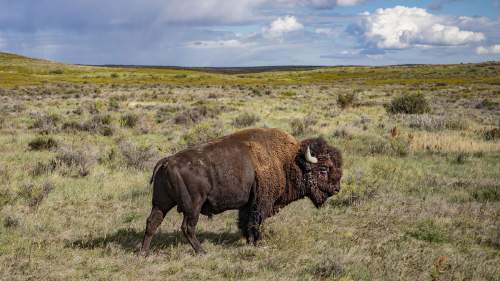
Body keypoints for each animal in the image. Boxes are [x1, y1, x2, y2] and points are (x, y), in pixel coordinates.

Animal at [139, 127, 342, 254]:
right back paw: (202, 251)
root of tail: (167, 161)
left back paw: (144, 253)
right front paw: (258, 243)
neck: (288, 161)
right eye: (323, 170)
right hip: (192, 206)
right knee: (187, 227)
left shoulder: (247, 204)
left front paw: (249, 241)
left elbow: (245, 222)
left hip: (161, 203)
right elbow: (255, 222)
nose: (336, 189)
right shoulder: (261, 203)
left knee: (152, 222)